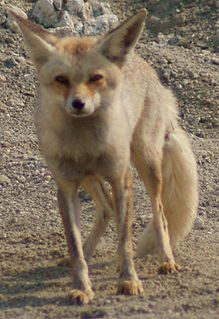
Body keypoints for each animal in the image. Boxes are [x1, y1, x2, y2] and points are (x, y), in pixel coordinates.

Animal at [9, 8, 198, 306]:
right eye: (61, 79)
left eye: (95, 78)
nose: (78, 104)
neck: (86, 143)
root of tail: (143, 64)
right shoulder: (66, 187)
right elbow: (74, 246)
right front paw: (82, 287)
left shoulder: (122, 179)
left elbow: (125, 242)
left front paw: (128, 281)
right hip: (89, 179)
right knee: (106, 209)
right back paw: (88, 253)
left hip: (146, 162)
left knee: (160, 215)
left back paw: (167, 260)